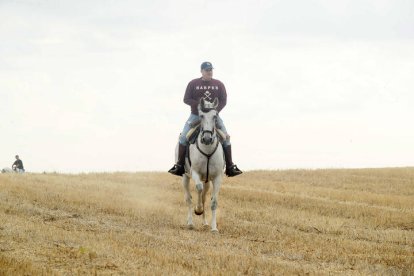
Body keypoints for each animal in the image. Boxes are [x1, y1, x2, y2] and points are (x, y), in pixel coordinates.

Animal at [176, 98, 225, 232]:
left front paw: (214, 228)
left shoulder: (217, 177)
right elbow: (198, 188)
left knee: (204, 197)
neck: (207, 149)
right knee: (189, 198)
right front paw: (198, 210)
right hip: (185, 177)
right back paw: (190, 223)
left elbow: (213, 202)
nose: (207, 138)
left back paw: (205, 223)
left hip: (207, 180)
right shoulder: (195, 173)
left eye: (215, 116)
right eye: (201, 116)